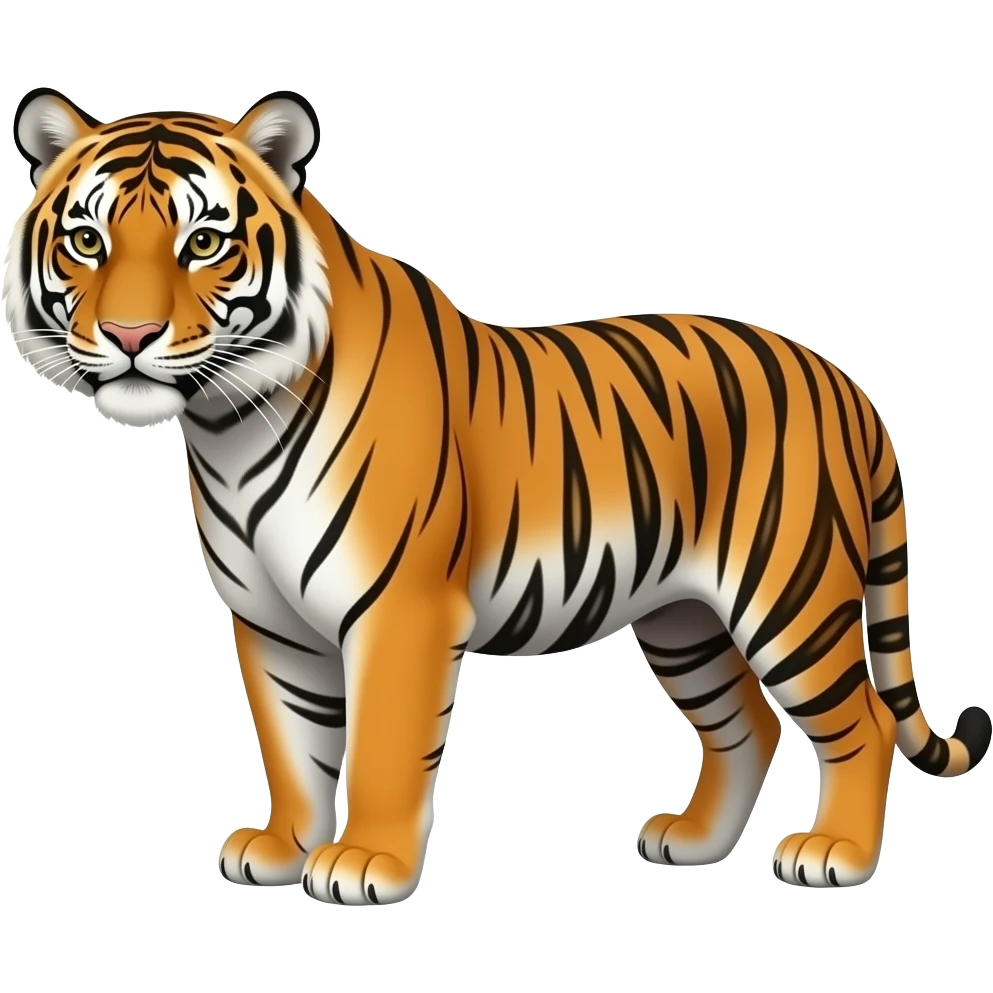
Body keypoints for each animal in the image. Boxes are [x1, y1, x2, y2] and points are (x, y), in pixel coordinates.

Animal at [4, 86, 990, 906]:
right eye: (87, 240)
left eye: (203, 242)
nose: (130, 335)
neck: (227, 423)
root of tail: (844, 381)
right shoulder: (270, 620)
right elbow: (291, 742)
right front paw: (282, 846)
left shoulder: (399, 609)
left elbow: (381, 745)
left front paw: (365, 864)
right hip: (682, 617)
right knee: (742, 721)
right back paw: (693, 841)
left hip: (791, 597)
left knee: (861, 719)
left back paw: (835, 854)